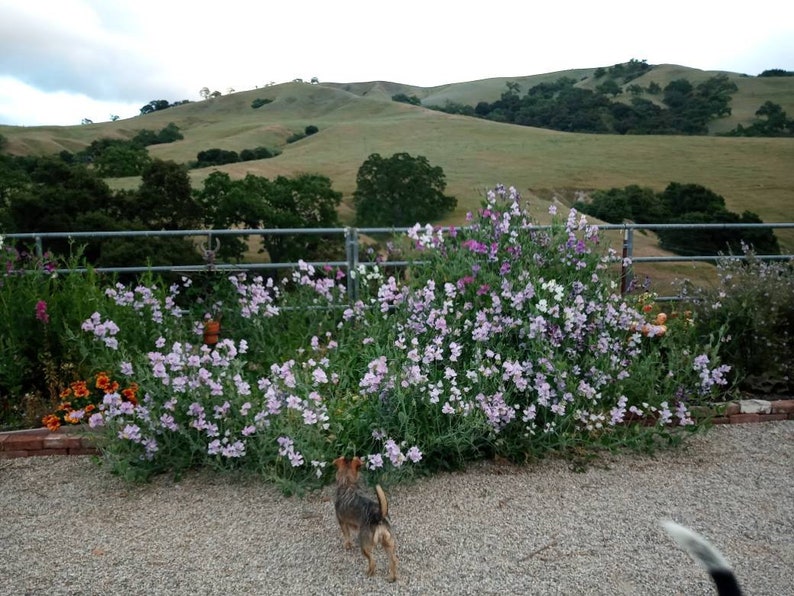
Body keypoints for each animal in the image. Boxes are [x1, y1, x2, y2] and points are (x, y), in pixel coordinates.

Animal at [332, 456, 396, 584]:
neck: (347, 483)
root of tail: (378, 516)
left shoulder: (342, 522)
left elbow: (346, 535)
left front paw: (347, 545)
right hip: (388, 543)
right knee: (393, 561)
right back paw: (392, 577)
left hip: (366, 547)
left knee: (373, 561)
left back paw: (369, 572)